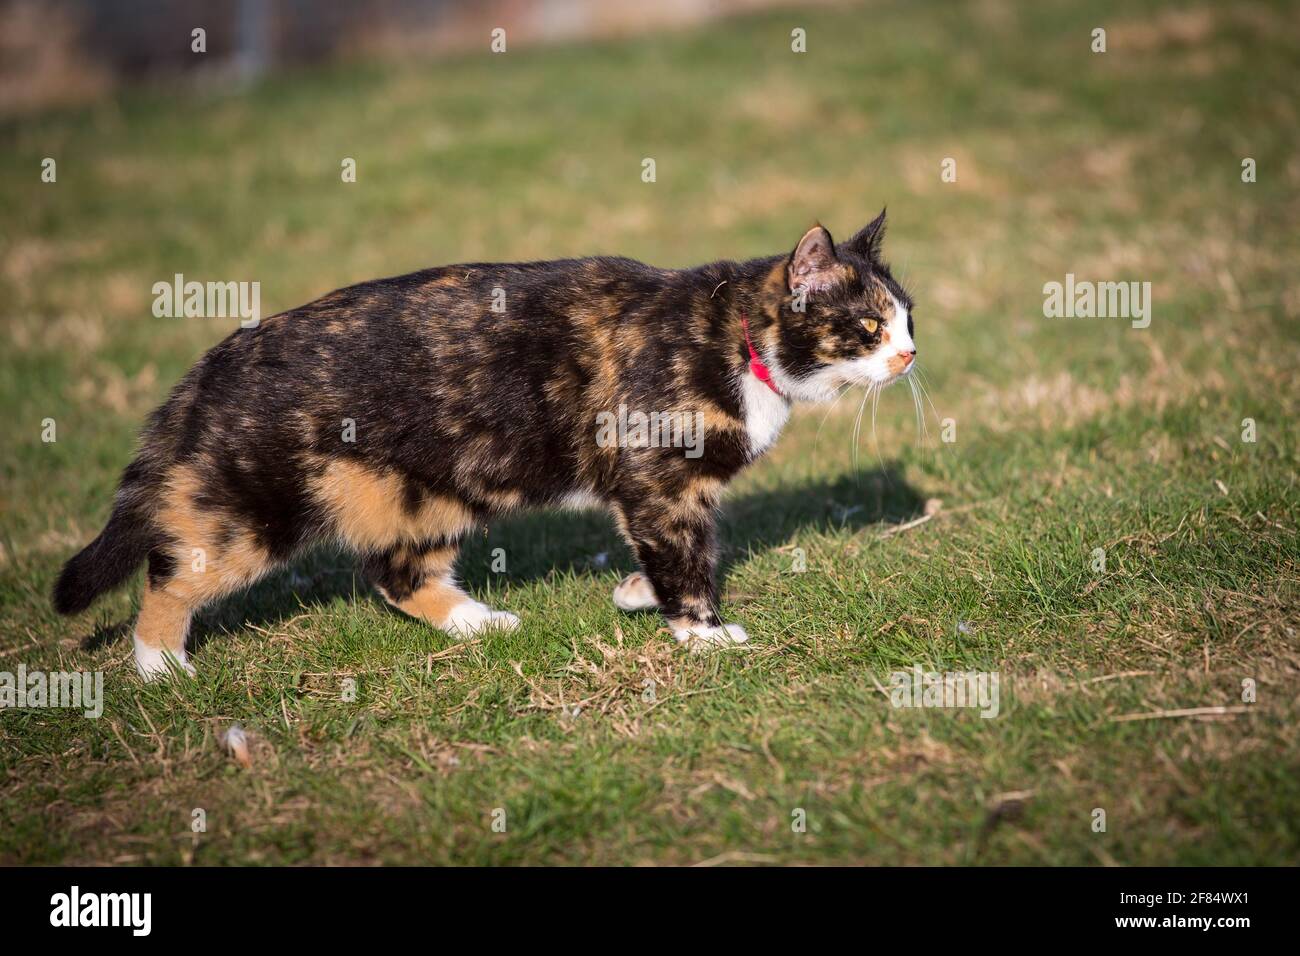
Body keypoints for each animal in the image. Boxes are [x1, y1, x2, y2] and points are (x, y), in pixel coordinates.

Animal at [55, 214, 920, 681]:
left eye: (908, 318)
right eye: (869, 326)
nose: (911, 355)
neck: (734, 336)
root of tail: (214, 362)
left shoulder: (662, 493)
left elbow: (672, 552)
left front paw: (635, 594)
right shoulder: (659, 481)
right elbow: (685, 557)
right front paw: (702, 632)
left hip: (434, 488)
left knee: (395, 573)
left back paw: (482, 622)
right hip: (254, 506)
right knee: (173, 572)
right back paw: (160, 666)